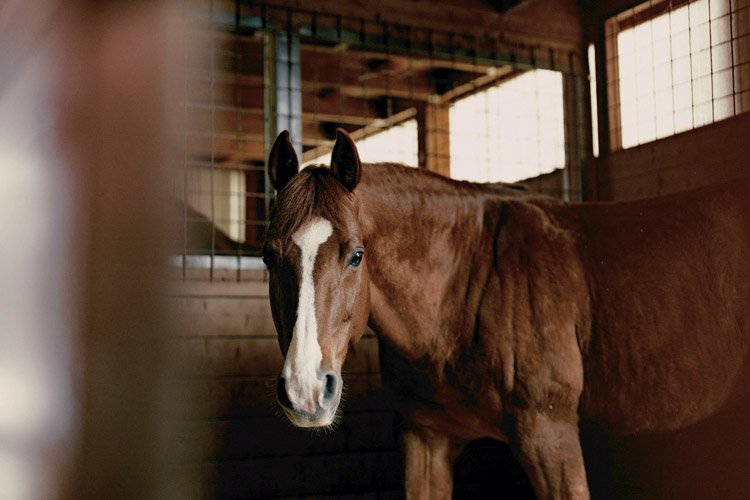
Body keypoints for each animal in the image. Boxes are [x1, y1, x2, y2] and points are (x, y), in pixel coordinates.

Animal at [262, 129, 750, 499]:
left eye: (356, 256)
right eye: (267, 257)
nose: (306, 391)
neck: (466, 283)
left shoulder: (549, 437)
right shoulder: (425, 439)